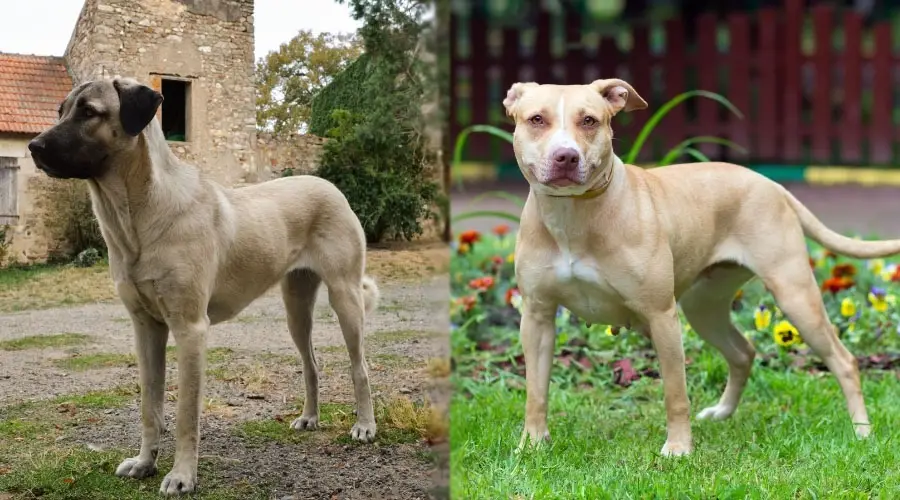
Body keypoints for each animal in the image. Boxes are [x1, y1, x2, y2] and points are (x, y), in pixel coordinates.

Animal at [502, 78, 896, 458]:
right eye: (537, 119)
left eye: (589, 120)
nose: (566, 156)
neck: (573, 216)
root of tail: (769, 183)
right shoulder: (537, 318)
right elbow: (535, 392)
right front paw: (531, 445)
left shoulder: (661, 316)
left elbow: (676, 394)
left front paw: (679, 448)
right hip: (704, 307)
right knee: (742, 352)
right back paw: (723, 412)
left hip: (795, 296)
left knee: (843, 361)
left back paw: (862, 431)